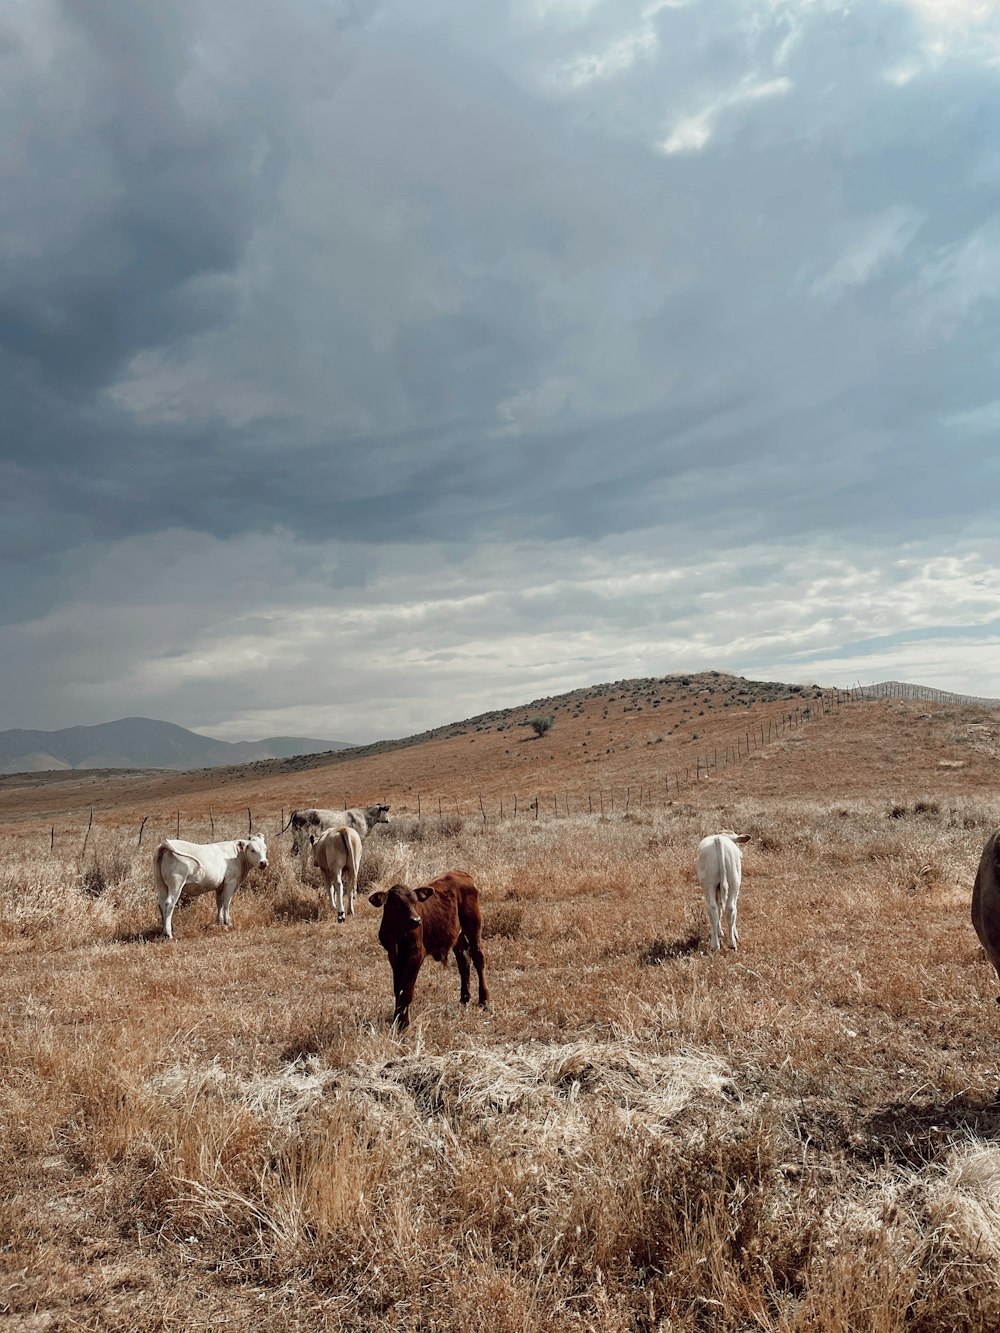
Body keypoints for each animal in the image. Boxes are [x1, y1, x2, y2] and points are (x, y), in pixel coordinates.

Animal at [370, 874, 490, 1029]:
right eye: (396, 903)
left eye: (415, 902)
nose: (416, 920)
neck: (398, 934)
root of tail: (461, 874)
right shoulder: (393, 956)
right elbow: (398, 988)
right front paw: (397, 1018)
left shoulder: (416, 954)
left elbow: (407, 989)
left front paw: (404, 1023)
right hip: (457, 935)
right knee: (464, 962)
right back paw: (464, 999)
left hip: (473, 927)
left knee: (479, 959)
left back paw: (484, 1000)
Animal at [698, 826, 752, 954]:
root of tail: (719, 839)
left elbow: (719, 908)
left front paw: (720, 932)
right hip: (734, 882)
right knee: (730, 908)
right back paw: (731, 942)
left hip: (711, 884)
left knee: (715, 909)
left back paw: (716, 944)